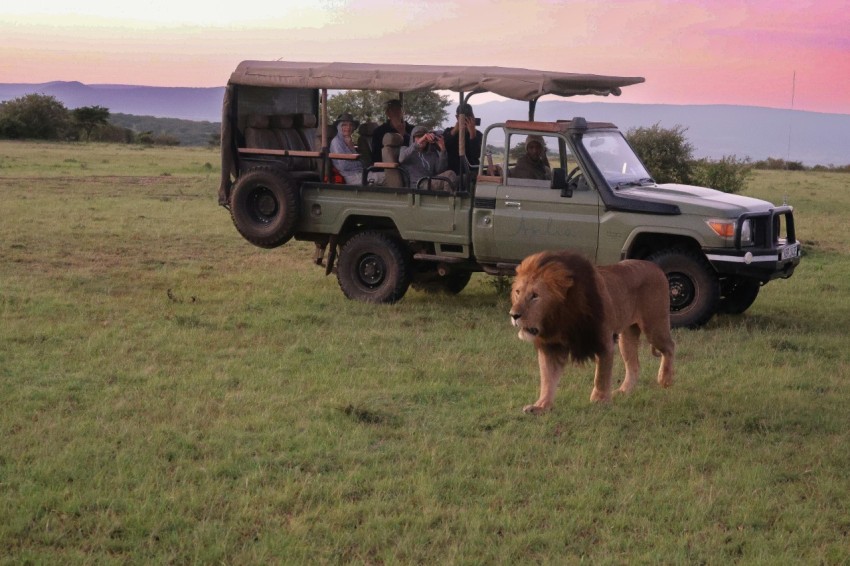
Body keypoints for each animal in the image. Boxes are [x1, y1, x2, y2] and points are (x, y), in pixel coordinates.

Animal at [506, 251, 672, 414]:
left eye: (535, 295)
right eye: (518, 292)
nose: (513, 315)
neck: (559, 318)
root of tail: (654, 266)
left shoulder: (603, 341)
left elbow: (601, 375)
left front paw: (600, 400)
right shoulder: (551, 346)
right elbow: (548, 378)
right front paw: (541, 406)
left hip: (654, 326)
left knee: (670, 346)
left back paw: (665, 379)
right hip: (627, 336)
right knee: (634, 365)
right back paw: (624, 391)